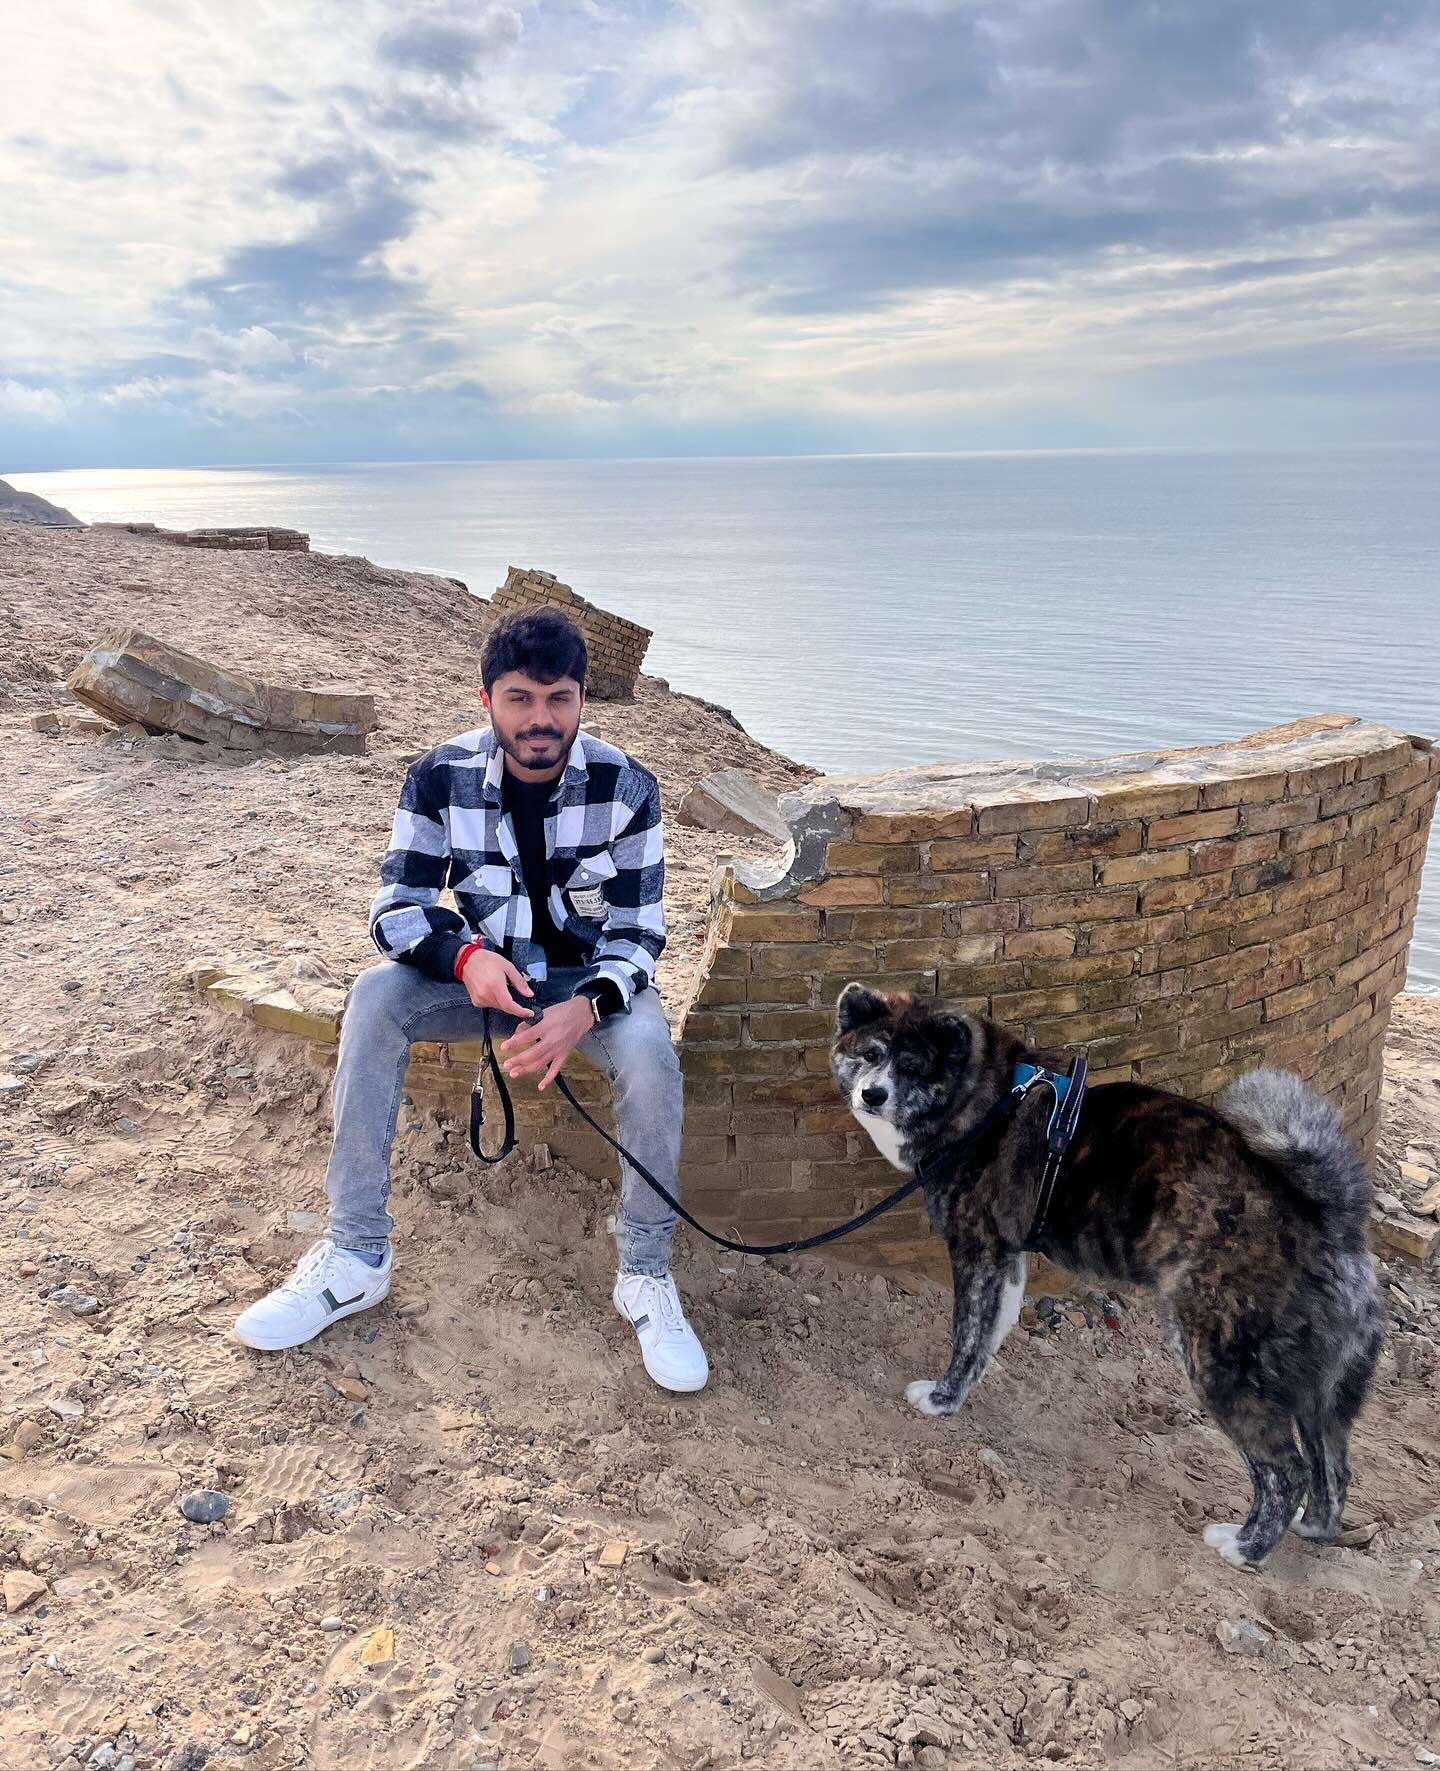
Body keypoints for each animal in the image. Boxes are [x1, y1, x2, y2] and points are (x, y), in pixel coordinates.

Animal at [831, 980, 1384, 1570]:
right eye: (870, 1055)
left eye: (912, 1066)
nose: (873, 1095)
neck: (984, 1099)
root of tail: (1329, 1217)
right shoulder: (1007, 1262)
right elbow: (984, 1342)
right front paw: (956, 1399)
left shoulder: (978, 1254)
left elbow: (965, 1335)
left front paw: (939, 1399)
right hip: (1321, 1392)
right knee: (1333, 1468)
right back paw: (1314, 1527)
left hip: (1216, 1362)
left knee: (1288, 1470)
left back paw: (1244, 1546)